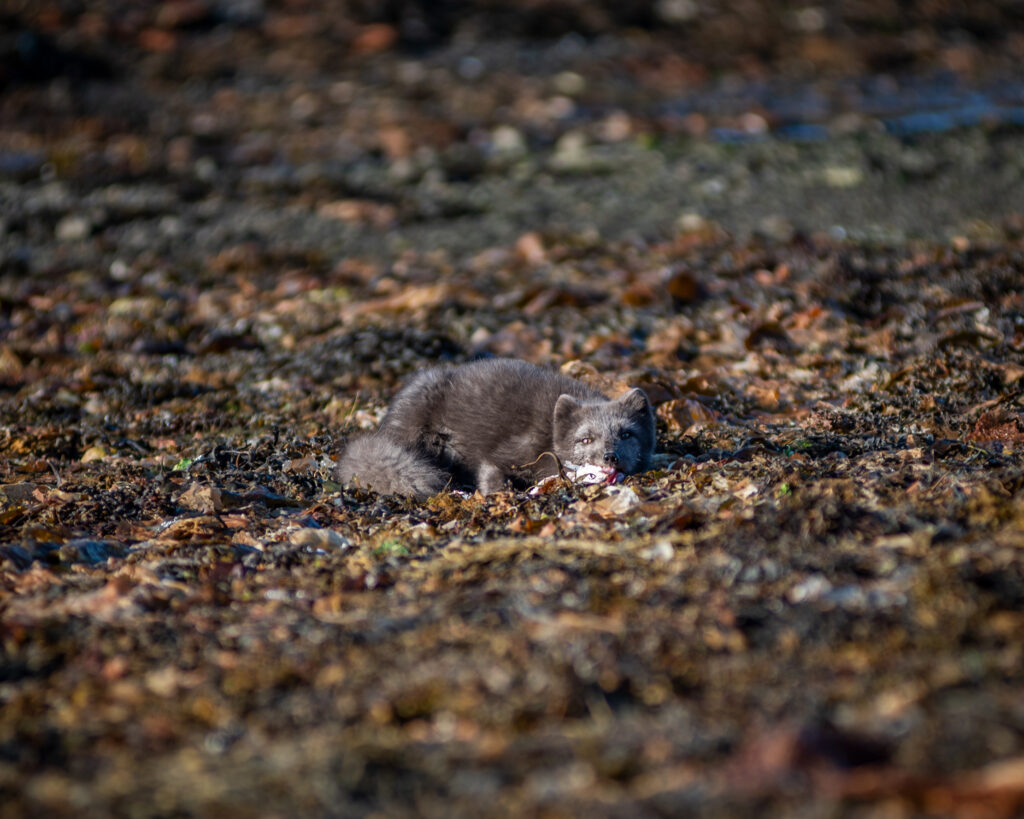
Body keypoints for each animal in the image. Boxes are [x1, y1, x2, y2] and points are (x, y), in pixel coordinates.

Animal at [337, 358, 656, 499]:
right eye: (586, 439)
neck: (550, 436)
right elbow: (492, 472)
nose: (610, 457)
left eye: (626, 434)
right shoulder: (506, 453)